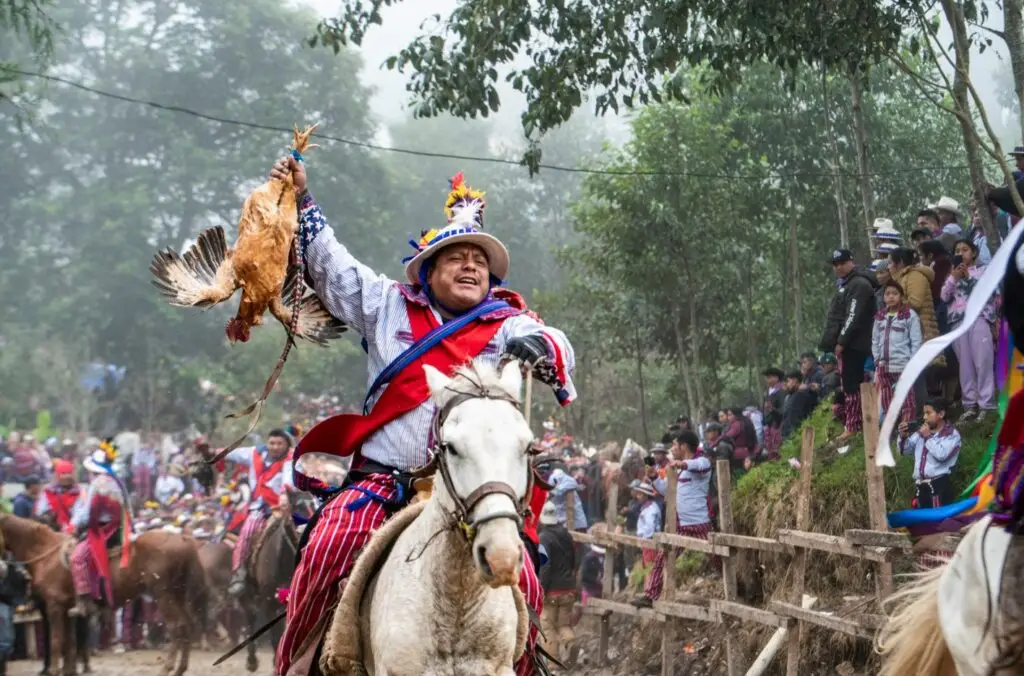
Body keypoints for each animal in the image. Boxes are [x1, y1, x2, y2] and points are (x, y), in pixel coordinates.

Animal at [0, 512, 209, 676]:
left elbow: (56, 641)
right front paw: (68, 671)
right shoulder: (67, 609)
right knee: (186, 625)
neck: (45, 554)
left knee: (176, 627)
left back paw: (167, 668)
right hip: (177, 594)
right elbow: (69, 642)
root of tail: (183, 539)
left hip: (163, 594)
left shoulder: (54, 606)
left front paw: (53, 671)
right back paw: (181, 668)